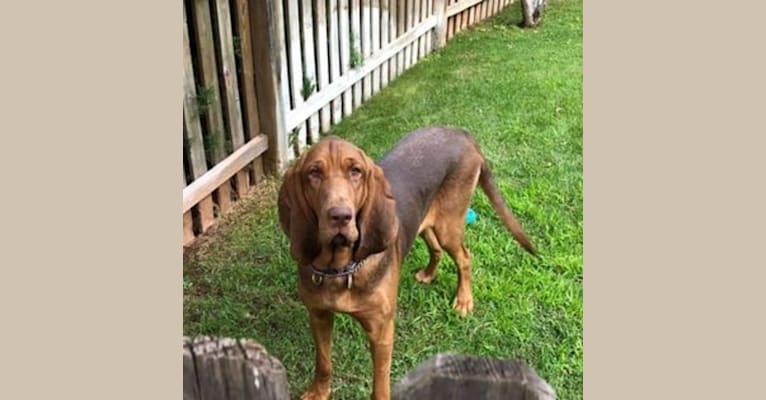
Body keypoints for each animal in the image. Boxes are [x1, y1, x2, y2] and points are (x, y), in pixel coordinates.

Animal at [280, 126, 536, 398]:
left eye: (355, 171)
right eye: (314, 173)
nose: (340, 216)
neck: (340, 269)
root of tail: (462, 133)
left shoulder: (381, 332)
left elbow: (380, 385)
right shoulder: (318, 316)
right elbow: (323, 362)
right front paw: (318, 392)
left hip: (449, 226)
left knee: (465, 257)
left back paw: (464, 300)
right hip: (425, 222)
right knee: (436, 248)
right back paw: (429, 274)